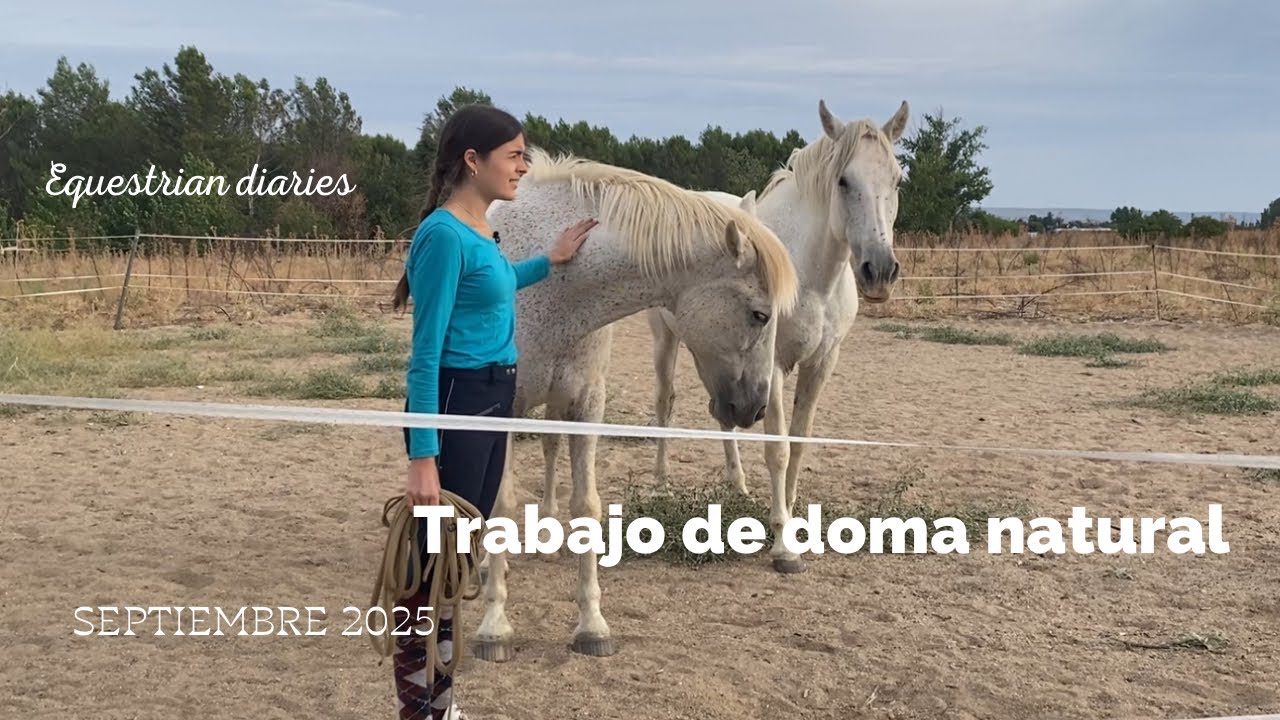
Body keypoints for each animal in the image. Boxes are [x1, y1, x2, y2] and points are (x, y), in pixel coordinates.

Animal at [467, 148, 799, 661]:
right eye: (760, 314)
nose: (755, 409)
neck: (559, 285)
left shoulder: (586, 404)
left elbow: (585, 505)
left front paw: (592, 625)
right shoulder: (504, 411)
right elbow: (501, 505)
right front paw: (494, 626)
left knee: (549, 450)